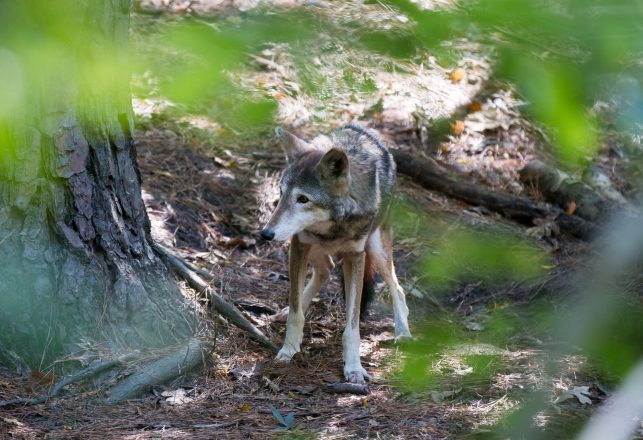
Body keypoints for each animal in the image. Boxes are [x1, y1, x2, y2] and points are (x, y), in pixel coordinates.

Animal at [262, 124, 410, 384]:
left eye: (303, 199)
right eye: (281, 194)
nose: (266, 233)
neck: (332, 225)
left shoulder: (356, 256)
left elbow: (352, 326)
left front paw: (354, 369)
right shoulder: (299, 244)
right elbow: (296, 313)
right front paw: (288, 350)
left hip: (376, 248)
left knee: (396, 286)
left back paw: (403, 333)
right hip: (309, 247)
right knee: (325, 269)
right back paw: (286, 309)